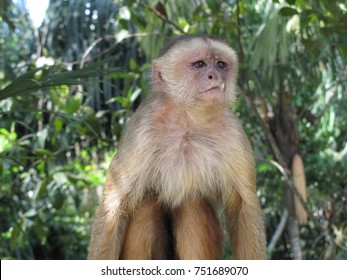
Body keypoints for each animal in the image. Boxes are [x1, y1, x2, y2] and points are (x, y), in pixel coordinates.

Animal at [88, 35, 268, 260]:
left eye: (220, 64)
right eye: (199, 64)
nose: (215, 76)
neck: (188, 120)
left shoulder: (233, 130)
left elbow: (243, 205)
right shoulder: (142, 128)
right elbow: (114, 205)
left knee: (191, 202)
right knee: (146, 204)